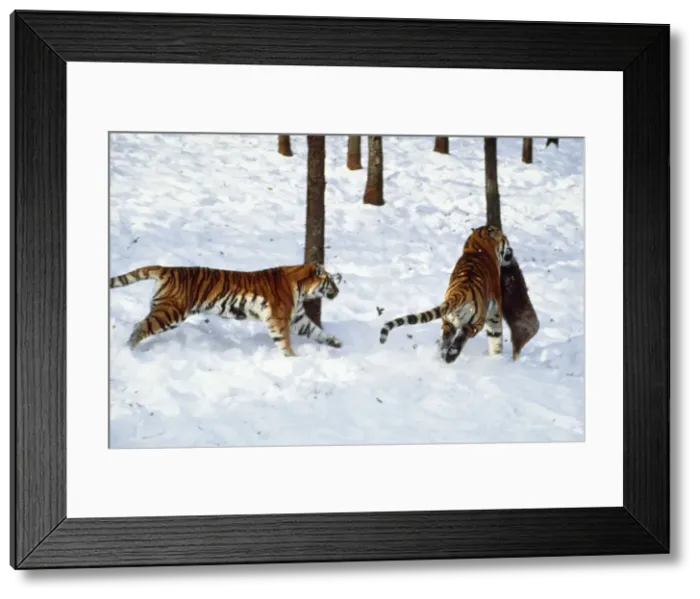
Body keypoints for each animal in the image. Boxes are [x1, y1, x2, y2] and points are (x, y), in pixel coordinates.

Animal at [109, 262, 343, 357]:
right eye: (330, 281)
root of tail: (166, 268)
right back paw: (128, 350)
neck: (302, 289)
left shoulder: (298, 319)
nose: (338, 290)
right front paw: (291, 358)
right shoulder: (280, 318)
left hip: (168, 314)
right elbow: (283, 340)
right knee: (140, 326)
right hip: (170, 312)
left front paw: (336, 343)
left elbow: (316, 331)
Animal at [378, 224, 513, 364]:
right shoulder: (495, 307)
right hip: (476, 322)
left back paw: (442, 355)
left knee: (446, 341)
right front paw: (497, 355)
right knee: (462, 336)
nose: (509, 244)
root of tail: (460, 292)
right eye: (504, 237)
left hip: (448, 322)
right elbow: (496, 334)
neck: (477, 245)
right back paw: (450, 357)